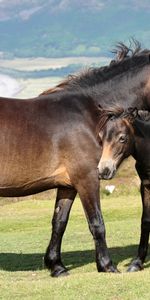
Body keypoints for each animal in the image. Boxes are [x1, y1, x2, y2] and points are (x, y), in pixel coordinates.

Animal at [97, 107, 150, 272]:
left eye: (122, 138)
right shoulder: (145, 186)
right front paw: (137, 263)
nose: (104, 170)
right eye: (101, 138)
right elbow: (145, 221)